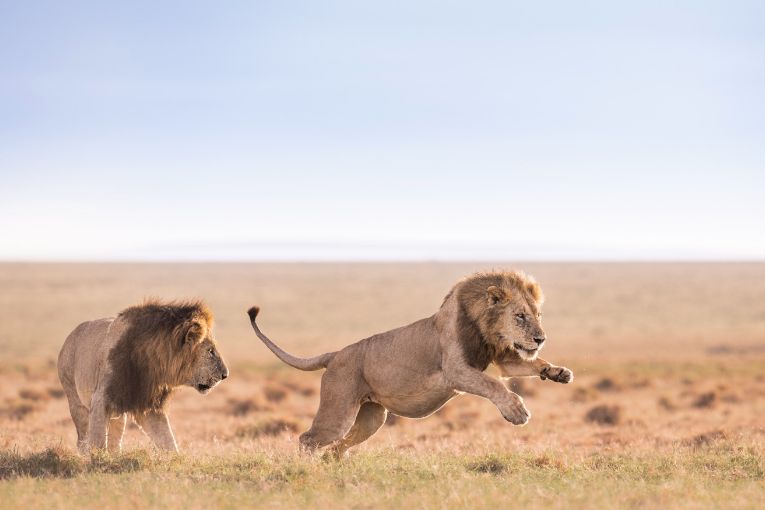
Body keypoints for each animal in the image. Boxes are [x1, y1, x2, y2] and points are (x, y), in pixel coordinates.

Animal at [56, 298, 227, 454]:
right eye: (210, 351)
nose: (225, 375)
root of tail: (70, 336)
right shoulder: (101, 398)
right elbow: (97, 442)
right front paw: (97, 461)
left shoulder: (149, 405)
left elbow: (167, 440)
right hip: (75, 398)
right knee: (83, 439)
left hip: (118, 415)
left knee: (114, 440)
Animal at [249, 268, 572, 456]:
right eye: (520, 316)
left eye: (538, 315)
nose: (541, 338)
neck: (485, 328)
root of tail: (335, 354)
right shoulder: (455, 370)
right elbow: (493, 385)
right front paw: (516, 412)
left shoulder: (504, 357)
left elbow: (528, 366)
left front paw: (558, 372)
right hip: (338, 412)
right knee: (308, 439)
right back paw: (309, 468)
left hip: (372, 418)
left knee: (337, 447)